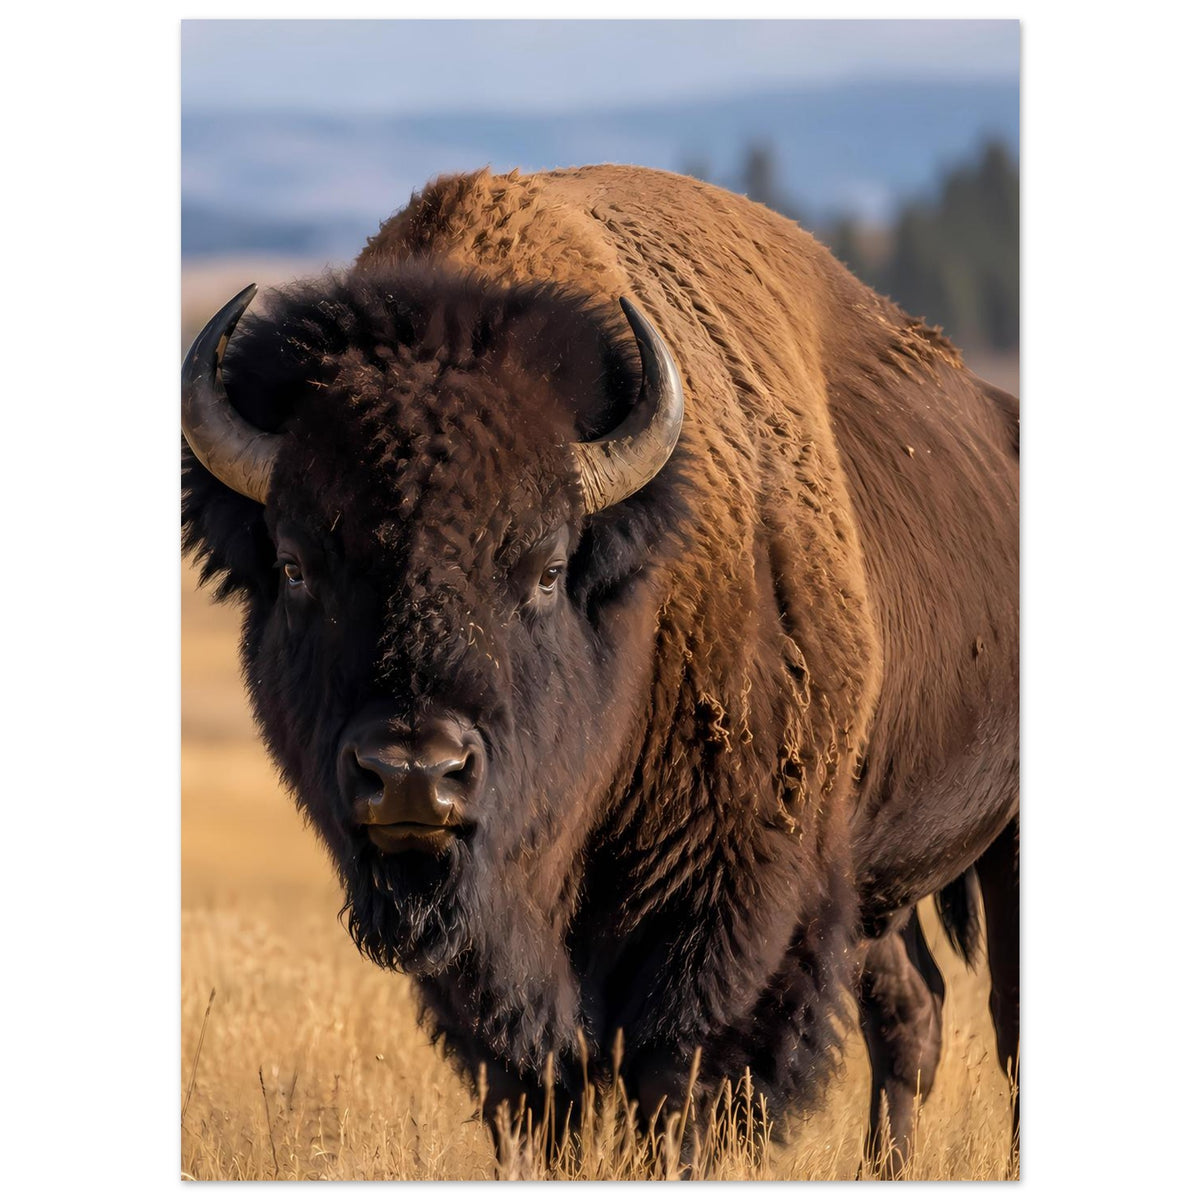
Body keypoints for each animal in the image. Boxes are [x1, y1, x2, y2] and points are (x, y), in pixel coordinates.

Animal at [182, 165, 1018, 1175]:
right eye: (297, 565)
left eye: (545, 567)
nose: (415, 775)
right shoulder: (494, 960)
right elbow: (538, 1089)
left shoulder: (725, 909)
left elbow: (678, 1084)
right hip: (875, 876)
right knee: (912, 1008)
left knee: (1003, 1021)